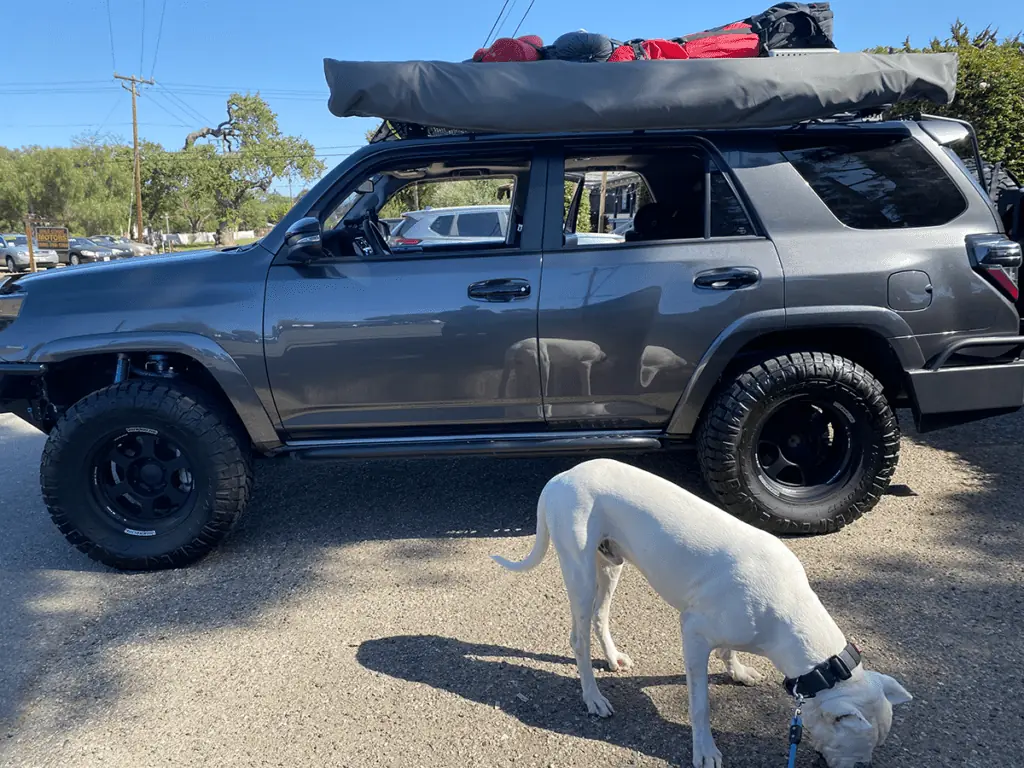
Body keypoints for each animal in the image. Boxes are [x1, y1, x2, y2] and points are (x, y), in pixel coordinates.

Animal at [493, 460, 913, 765]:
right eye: (859, 746)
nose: (864, 766)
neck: (788, 611)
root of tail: (562, 477)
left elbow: (729, 650)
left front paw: (737, 670)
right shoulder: (693, 634)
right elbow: (700, 705)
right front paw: (705, 750)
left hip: (610, 565)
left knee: (600, 616)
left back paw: (612, 658)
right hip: (580, 574)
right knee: (578, 637)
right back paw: (593, 698)